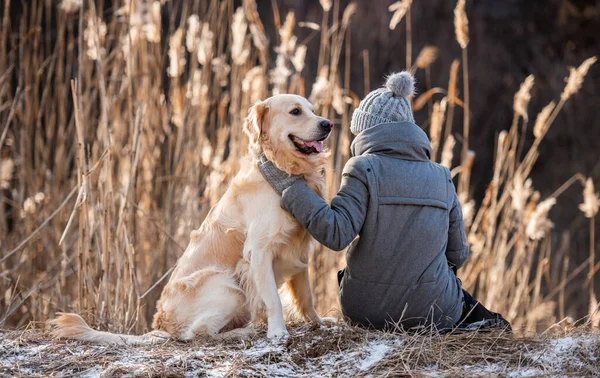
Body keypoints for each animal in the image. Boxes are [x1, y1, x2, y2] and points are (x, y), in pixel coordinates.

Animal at [51, 94, 332, 342]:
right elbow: (273, 298)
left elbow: (306, 295)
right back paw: (243, 332)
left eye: (312, 109)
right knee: (196, 333)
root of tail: (161, 326)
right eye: (295, 111)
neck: (283, 171)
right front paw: (277, 332)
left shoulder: (298, 250)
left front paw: (318, 321)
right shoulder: (259, 251)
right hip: (228, 286)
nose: (327, 124)